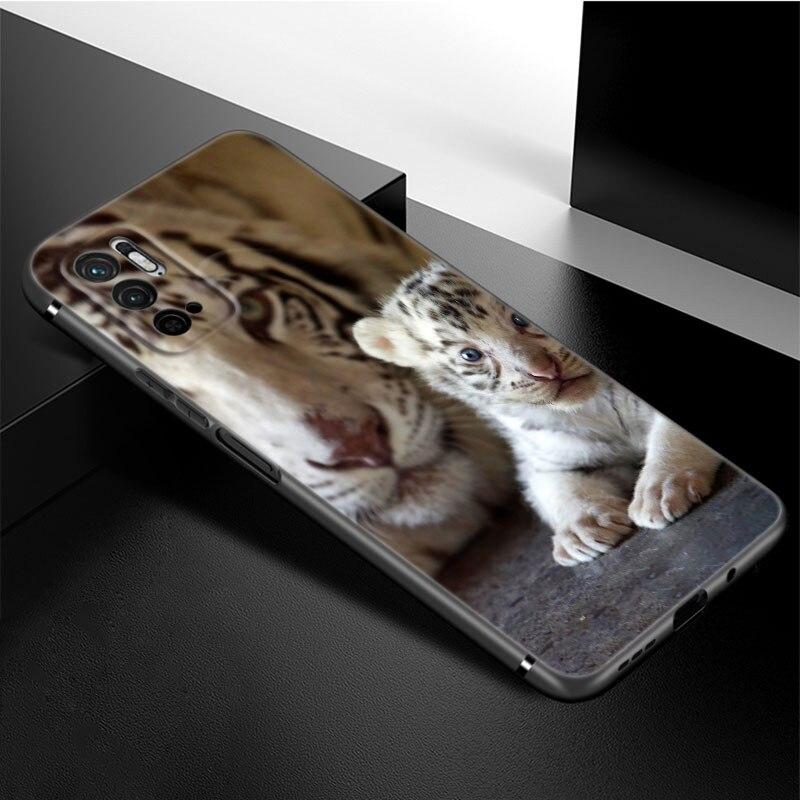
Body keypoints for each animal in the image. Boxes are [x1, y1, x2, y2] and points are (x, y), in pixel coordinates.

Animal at [353, 261, 721, 567]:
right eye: (471, 354)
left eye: (519, 318)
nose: (546, 372)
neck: (595, 406)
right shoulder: (546, 461)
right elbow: (560, 490)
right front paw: (583, 527)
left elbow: (670, 439)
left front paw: (660, 491)